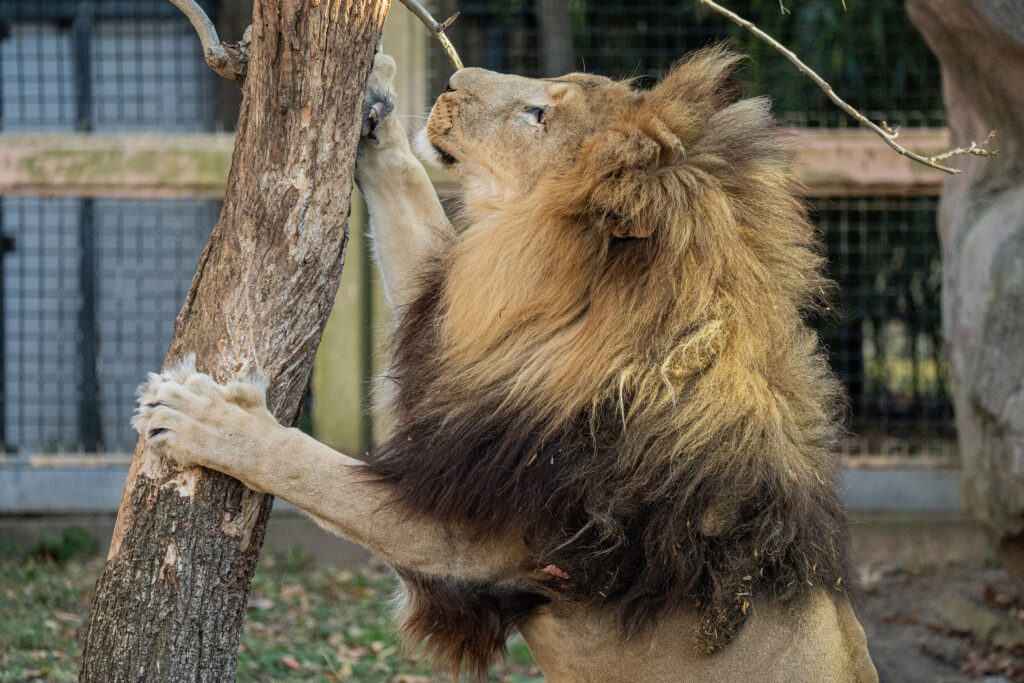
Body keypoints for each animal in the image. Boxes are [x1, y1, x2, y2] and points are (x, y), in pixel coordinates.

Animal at [132, 49, 876, 683]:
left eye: (538, 115)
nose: (454, 83)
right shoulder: (465, 335)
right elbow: (409, 196)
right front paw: (376, 100)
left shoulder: (461, 536)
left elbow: (307, 466)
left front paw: (203, 416)